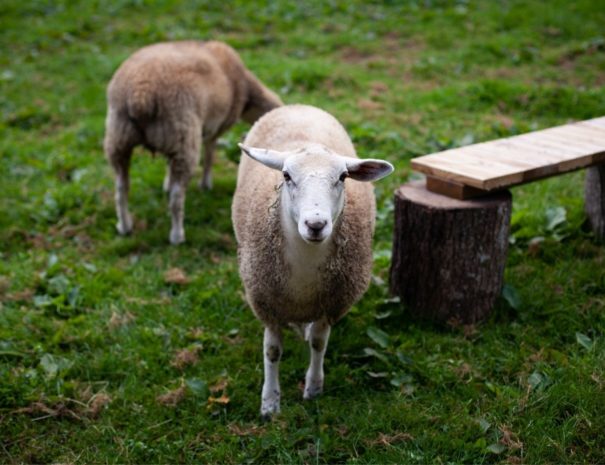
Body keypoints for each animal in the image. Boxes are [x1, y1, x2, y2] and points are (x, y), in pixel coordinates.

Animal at [104, 40, 284, 243]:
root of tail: (140, 96)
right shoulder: (214, 128)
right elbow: (209, 154)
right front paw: (205, 184)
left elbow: (169, 164)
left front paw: (166, 182)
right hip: (183, 136)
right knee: (176, 196)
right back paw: (177, 235)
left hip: (119, 138)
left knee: (121, 188)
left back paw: (124, 226)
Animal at [230, 103, 392, 416]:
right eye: (286, 176)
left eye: (342, 177)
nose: (315, 224)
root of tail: (298, 106)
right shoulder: (266, 302)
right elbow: (272, 351)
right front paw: (270, 402)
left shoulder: (332, 303)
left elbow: (318, 343)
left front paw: (314, 387)